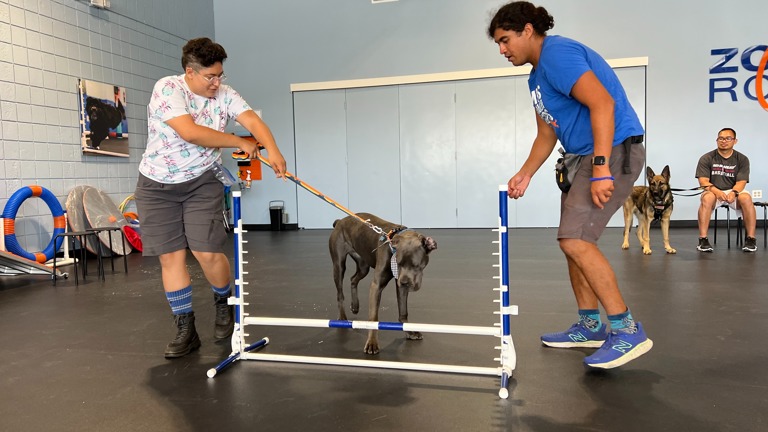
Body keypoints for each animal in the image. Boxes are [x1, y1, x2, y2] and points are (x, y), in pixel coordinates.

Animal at [329, 213, 437, 355]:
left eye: (416, 265)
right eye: (399, 263)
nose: (404, 282)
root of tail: (340, 221)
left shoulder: (401, 285)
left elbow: (403, 312)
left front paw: (409, 332)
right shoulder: (377, 285)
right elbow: (373, 317)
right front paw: (372, 343)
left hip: (363, 265)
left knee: (353, 279)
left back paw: (355, 306)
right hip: (339, 265)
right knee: (340, 293)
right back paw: (342, 317)